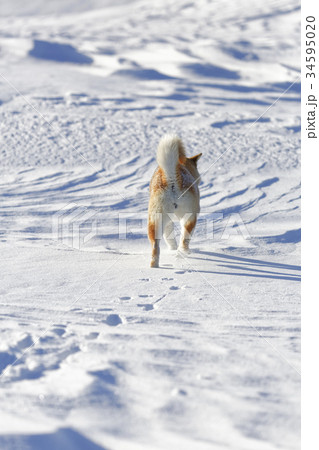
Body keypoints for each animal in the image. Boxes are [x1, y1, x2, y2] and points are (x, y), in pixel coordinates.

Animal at [148, 134, 202, 268]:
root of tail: (171, 180)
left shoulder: (167, 222)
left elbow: (169, 238)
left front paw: (172, 248)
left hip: (155, 220)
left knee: (155, 247)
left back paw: (154, 266)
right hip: (190, 218)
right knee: (184, 241)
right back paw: (184, 254)